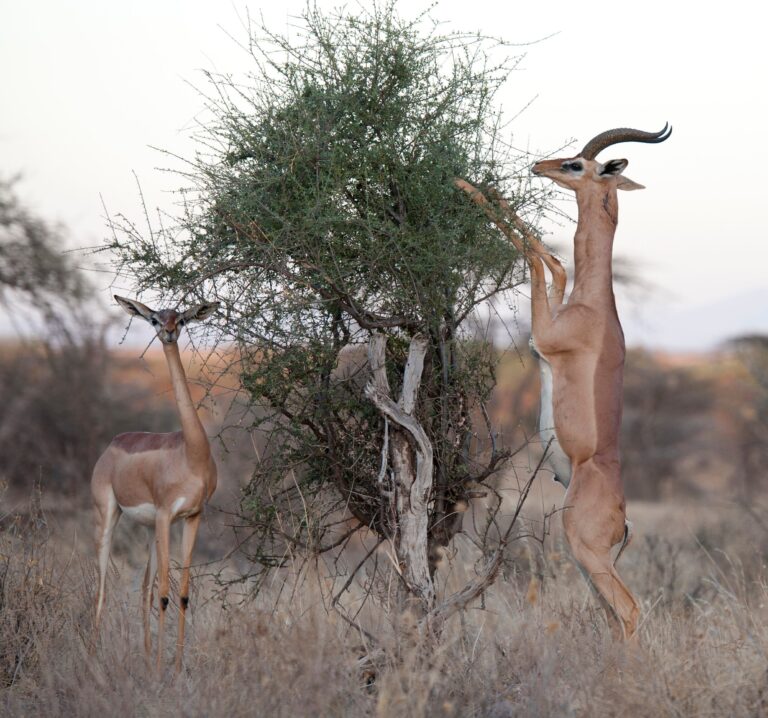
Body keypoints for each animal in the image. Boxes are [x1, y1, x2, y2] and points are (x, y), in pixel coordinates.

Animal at [91, 295, 219, 672]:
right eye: (153, 319)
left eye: (183, 318)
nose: (169, 332)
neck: (191, 452)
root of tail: (114, 442)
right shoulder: (166, 515)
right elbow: (165, 593)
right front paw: (164, 668)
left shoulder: (193, 517)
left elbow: (182, 594)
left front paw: (173, 668)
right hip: (108, 516)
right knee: (102, 588)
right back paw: (91, 663)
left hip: (148, 530)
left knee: (144, 589)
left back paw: (146, 660)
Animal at [456, 124, 671, 638]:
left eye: (576, 164)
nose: (539, 165)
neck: (593, 305)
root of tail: (625, 519)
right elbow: (553, 262)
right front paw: (482, 185)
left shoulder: (543, 338)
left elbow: (538, 260)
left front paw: (466, 185)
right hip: (585, 561)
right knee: (613, 616)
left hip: (585, 549)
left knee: (630, 611)